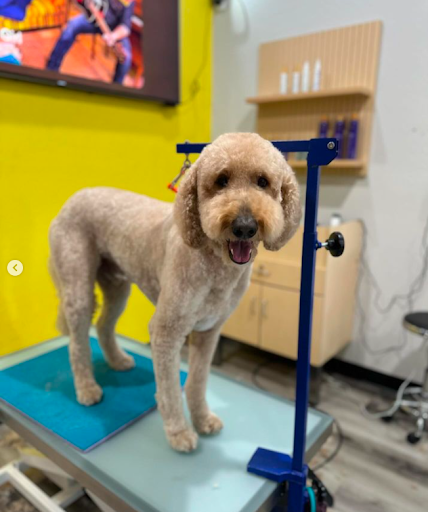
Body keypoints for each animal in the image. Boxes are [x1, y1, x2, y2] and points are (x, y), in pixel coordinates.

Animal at [48, 132, 300, 452]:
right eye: (221, 180)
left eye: (263, 181)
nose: (245, 226)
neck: (213, 263)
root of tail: (71, 200)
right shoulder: (166, 331)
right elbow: (168, 389)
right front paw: (179, 432)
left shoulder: (209, 331)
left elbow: (196, 381)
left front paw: (202, 419)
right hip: (77, 285)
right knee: (77, 343)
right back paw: (87, 389)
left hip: (118, 287)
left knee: (104, 325)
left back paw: (117, 361)